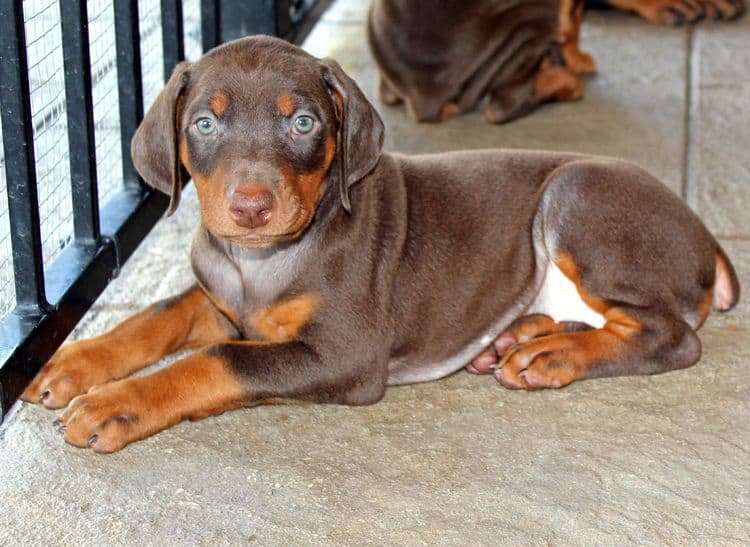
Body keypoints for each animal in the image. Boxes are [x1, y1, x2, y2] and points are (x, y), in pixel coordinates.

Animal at [20, 35, 744, 454]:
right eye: (203, 123)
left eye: (303, 122)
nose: (250, 208)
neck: (261, 261)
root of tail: (707, 234)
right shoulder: (222, 298)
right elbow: (160, 313)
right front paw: (70, 362)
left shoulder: (345, 354)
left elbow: (216, 360)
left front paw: (116, 403)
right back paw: (521, 338)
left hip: (575, 192)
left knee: (671, 336)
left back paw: (554, 355)